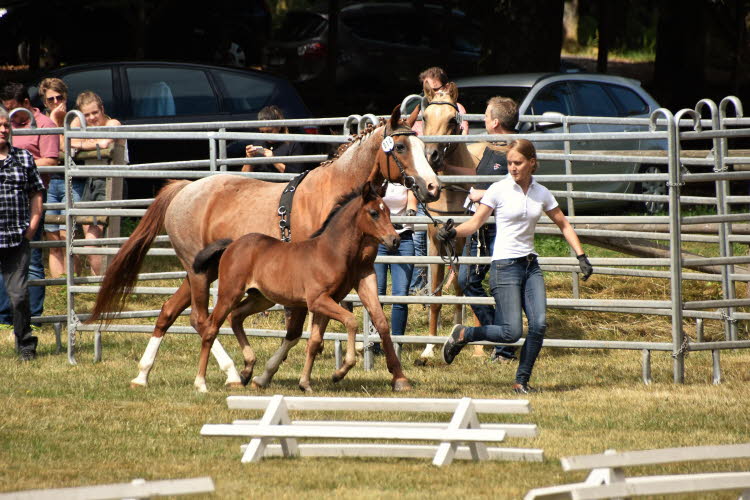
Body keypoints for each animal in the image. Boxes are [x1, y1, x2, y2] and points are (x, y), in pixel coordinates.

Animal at [191, 184, 402, 394]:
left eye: (388, 211)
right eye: (374, 213)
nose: (395, 240)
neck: (330, 252)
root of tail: (232, 245)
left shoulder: (325, 303)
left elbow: (314, 341)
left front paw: (305, 383)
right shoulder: (318, 300)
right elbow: (350, 321)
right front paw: (340, 372)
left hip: (260, 298)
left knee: (235, 316)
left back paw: (248, 369)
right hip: (230, 293)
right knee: (211, 329)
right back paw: (201, 382)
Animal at [406, 82, 488, 364]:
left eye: (452, 119)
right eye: (425, 117)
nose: (430, 155)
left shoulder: (461, 241)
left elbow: (461, 289)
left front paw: (462, 337)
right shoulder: (435, 241)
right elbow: (437, 294)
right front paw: (428, 348)